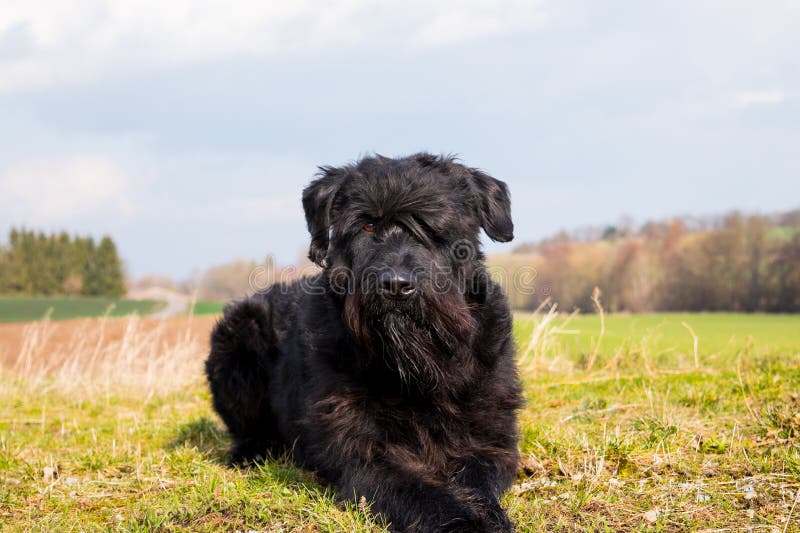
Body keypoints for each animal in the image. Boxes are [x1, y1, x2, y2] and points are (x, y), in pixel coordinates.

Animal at [203, 152, 520, 528]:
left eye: (433, 228)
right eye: (367, 226)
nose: (395, 284)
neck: (418, 369)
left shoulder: (489, 442)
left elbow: (476, 479)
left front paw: (484, 514)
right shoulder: (366, 454)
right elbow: (420, 491)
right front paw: (463, 521)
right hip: (237, 336)